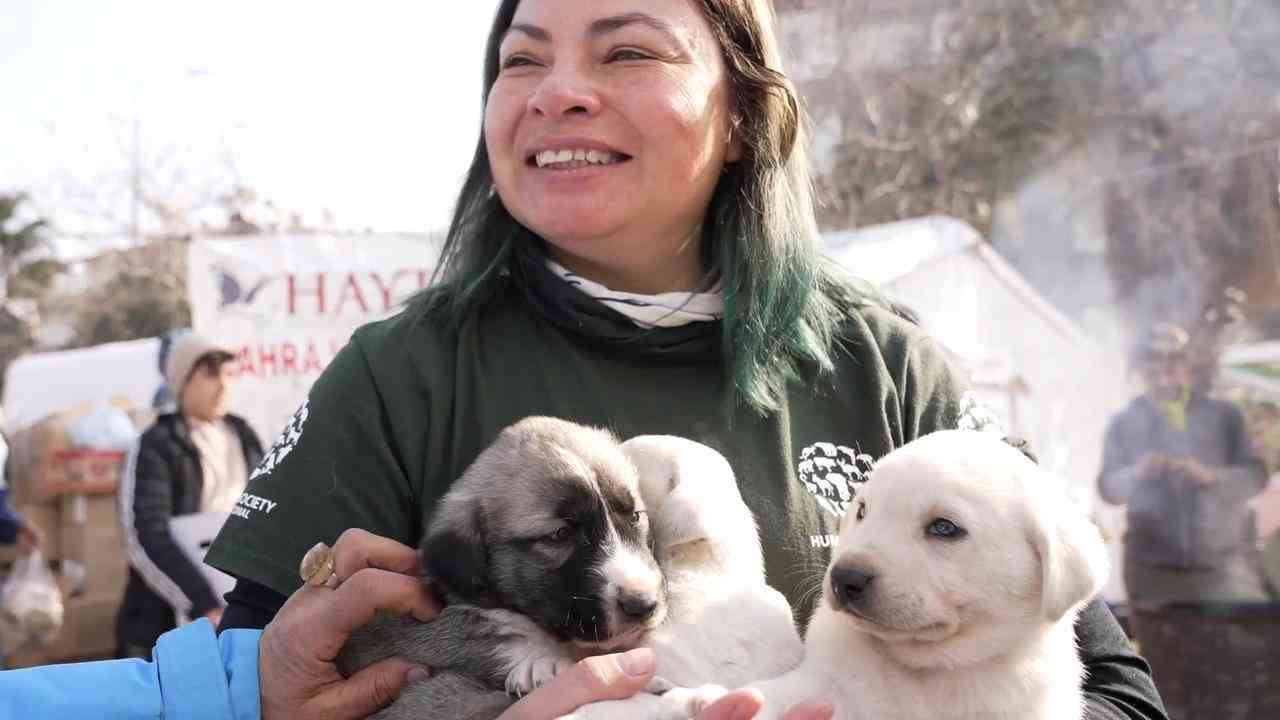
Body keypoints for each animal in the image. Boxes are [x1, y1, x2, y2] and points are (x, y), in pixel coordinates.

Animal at [670, 427, 1111, 712]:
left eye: (944, 528)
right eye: (862, 510)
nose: (844, 578)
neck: (926, 674)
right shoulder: (826, 686)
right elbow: (777, 696)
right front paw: (699, 699)